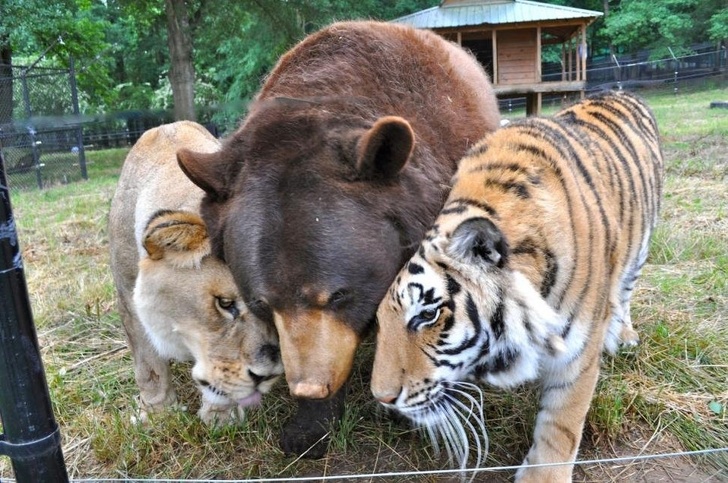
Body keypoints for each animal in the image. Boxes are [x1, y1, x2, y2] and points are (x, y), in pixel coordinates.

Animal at [372, 91, 664, 483]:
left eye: (427, 315)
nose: (382, 398)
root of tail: (621, 91)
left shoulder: (578, 353)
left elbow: (561, 424)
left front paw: (544, 476)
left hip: (641, 248)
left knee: (625, 291)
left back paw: (625, 334)